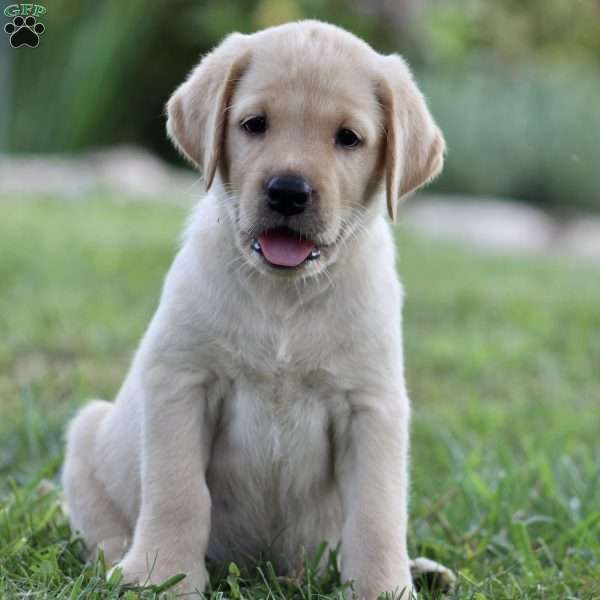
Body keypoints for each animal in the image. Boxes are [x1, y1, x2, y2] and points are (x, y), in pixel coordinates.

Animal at [62, 19, 446, 600]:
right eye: (254, 124)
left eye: (348, 138)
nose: (288, 191)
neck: (284, 297)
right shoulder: (181, 381)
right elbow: (178, 492)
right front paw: (161, 575)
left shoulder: (372, 406)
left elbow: (378, 514)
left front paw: (384, 587)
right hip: (86, 438)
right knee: (102, 528)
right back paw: (120, 565)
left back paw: (422, 570)